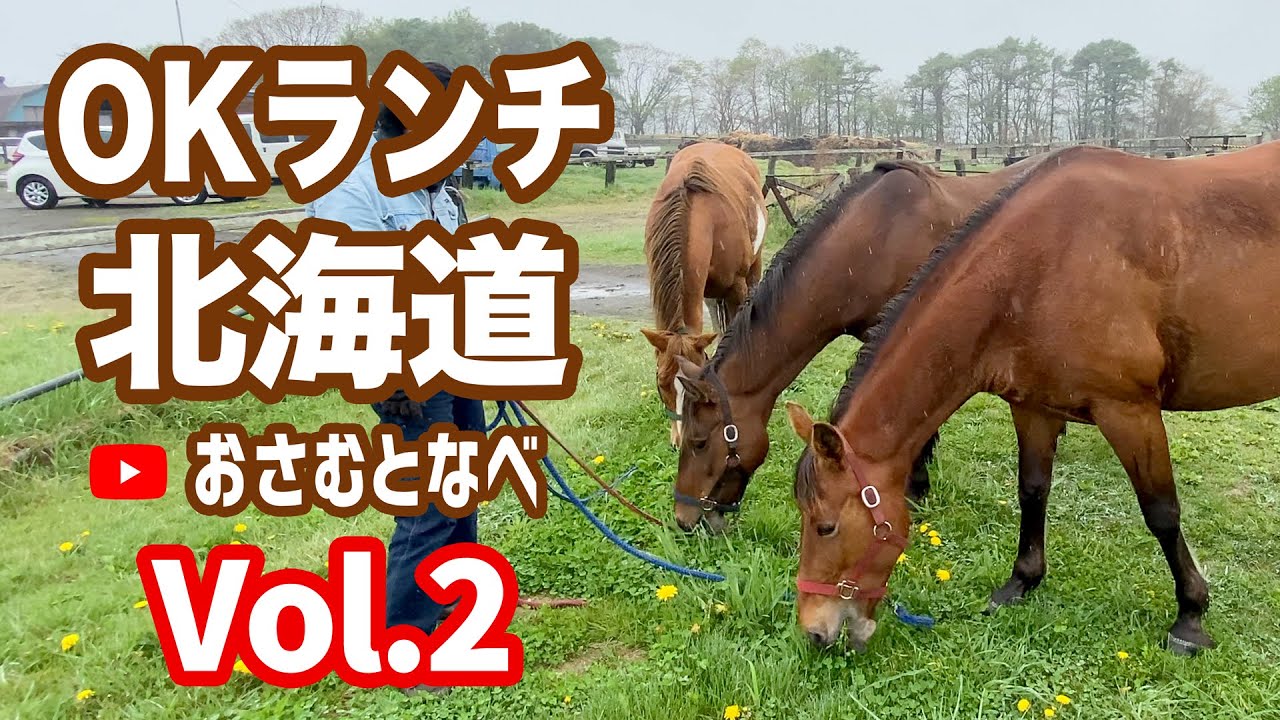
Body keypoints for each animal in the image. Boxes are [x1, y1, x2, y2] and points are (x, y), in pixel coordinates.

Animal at [787, 142, 1280, 655]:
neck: (1038, 267)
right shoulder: (1034, 408)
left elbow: (1161, 513)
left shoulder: (1129, 411)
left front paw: (1190, 614)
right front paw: (1022, 580)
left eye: (825, 526)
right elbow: (1032, 489)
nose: (815, 632)